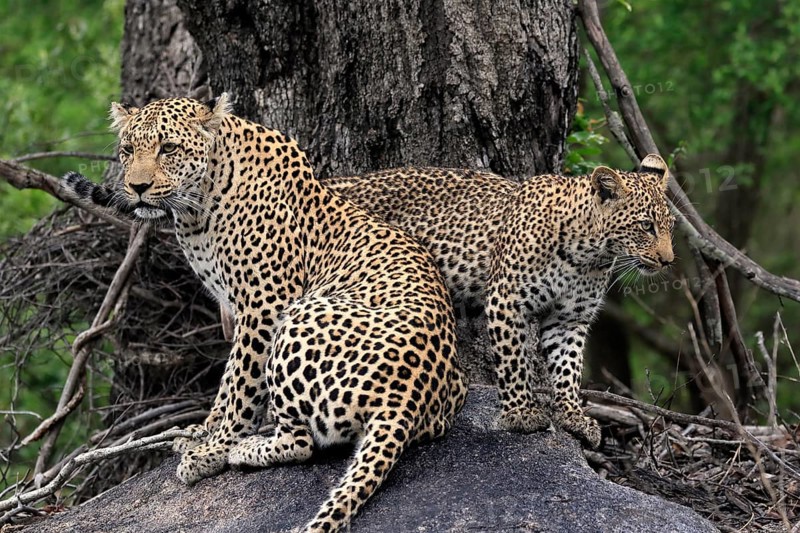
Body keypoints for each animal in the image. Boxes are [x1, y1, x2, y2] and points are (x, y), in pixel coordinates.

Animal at [61, 94, 468, 533]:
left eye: (168, 148)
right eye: (127, 150)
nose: (137, 188)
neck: (199, 207)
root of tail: (405, 398)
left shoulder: (263, 305)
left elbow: (241, 386)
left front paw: (212, 451)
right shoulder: (236, 306)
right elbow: (227, 382)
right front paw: (203, 431)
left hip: (300, 318)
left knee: (302, 443)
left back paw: (245, 449)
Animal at [324, 155, 675, 448]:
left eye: (670, 226)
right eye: (646, 226)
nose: (668, 260)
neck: (587, 254)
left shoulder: (570, 318)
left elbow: (568, 368)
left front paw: (573, 417)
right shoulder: (508, 300)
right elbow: (513, 361)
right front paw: (521, 414)